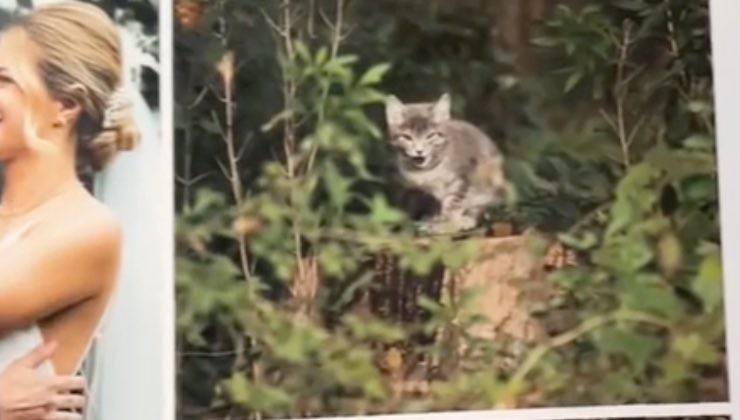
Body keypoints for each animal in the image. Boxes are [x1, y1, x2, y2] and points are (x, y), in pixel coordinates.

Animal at [384, 92, 506, 233]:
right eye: (407, 137)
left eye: (430, 136)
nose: (419, 151)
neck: (428, 169)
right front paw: (436, 219)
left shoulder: (464, 174)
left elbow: (453, 201)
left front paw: (447, 224)